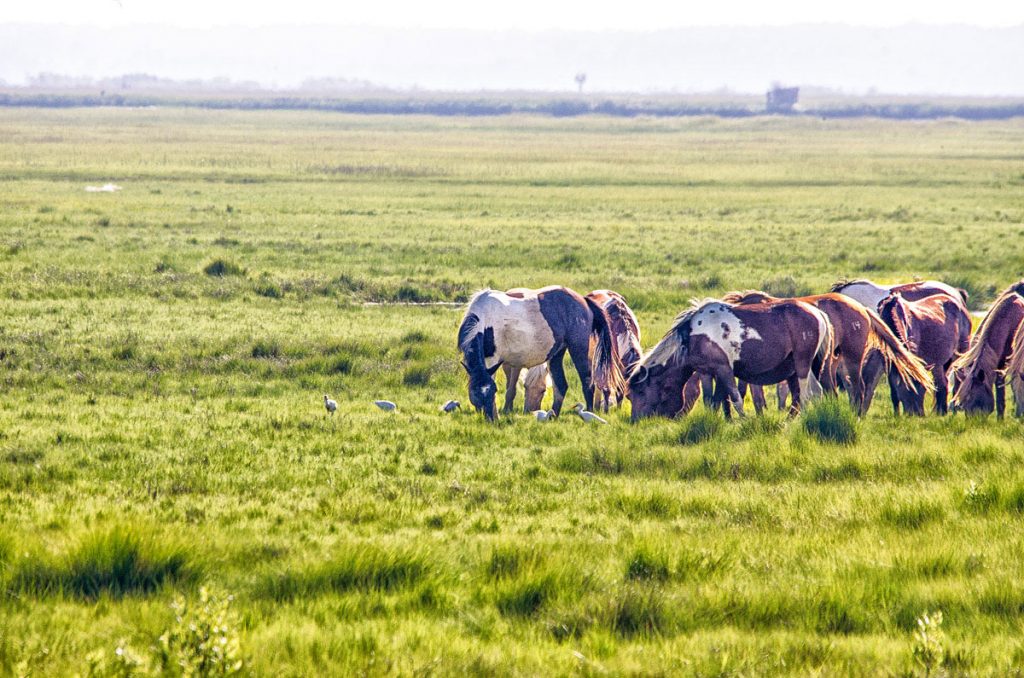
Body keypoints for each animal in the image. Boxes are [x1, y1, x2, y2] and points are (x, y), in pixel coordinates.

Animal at [458, 286, 622, 419]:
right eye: (475, 392)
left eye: (493, 390)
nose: (490, 418)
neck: (485, 320)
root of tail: (584, 300)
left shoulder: (493, 358)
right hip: (556, 354)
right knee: (561, 385)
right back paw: (553, 416)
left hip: (578, 348)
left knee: (587, 382)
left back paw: (589, 412)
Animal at [626, 299, 835, 419]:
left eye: (640, 392)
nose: (636, 421)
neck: (694, 336)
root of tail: (818, 313)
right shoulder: (707, 372)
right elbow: (713, 400)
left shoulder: (724, 369)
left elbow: (735, 399)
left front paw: (744, 422)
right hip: (802, 367)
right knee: (810, 394)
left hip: (802, 365)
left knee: (807, 395)